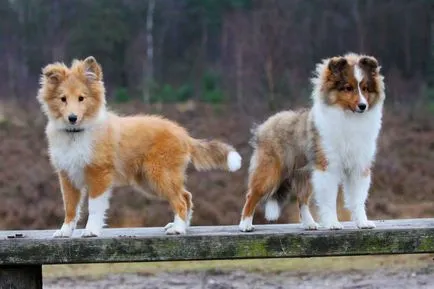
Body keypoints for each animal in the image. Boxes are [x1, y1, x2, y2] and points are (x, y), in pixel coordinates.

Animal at [36, 55, 241, 236]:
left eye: (81, 98)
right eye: (63, 98)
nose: (72, 118)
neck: (76, 134)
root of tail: (184, 135)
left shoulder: (98, 174)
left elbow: (94, 207)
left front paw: (91, 231)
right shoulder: (67, 176)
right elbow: (70, 208)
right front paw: (64, 232)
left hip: (160, 174)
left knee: (181, 200)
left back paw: (178, 229)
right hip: (149, 181)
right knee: (186, 196)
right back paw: (180, 226)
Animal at [239, 53, 384, 231]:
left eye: (365, 88)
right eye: (348, 88)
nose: (363, 106)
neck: (348, 117)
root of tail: (265, 125)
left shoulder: (358, 166)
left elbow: (358, 199)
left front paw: (363, 223)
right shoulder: (328, 166)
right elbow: (329, 200)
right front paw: (333, 223)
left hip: (306, 174)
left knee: (301, 200)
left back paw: (309, 224)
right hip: (270, 172)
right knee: (252, 195)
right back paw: (245, 224)